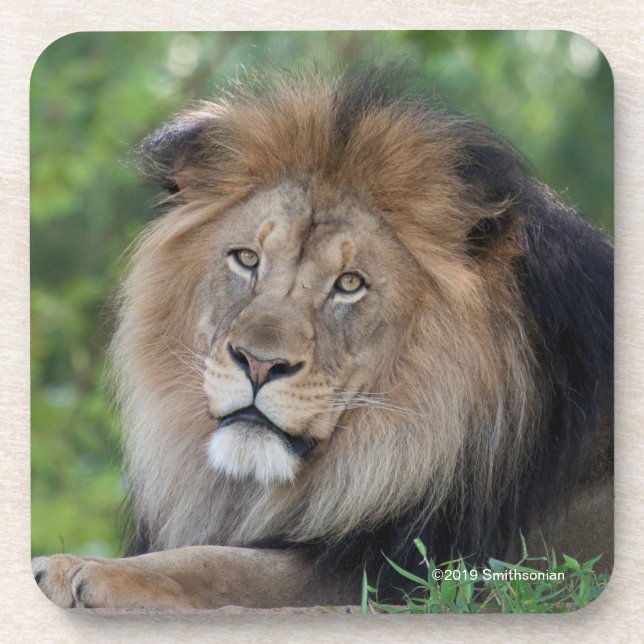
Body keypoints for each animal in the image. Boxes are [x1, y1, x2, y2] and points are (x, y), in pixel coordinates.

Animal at [33, 65, 613, 610]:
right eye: (247, 259)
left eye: (349, 284)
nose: (259, 364)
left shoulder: (409, 575)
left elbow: (218, 564)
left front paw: (76, 568)